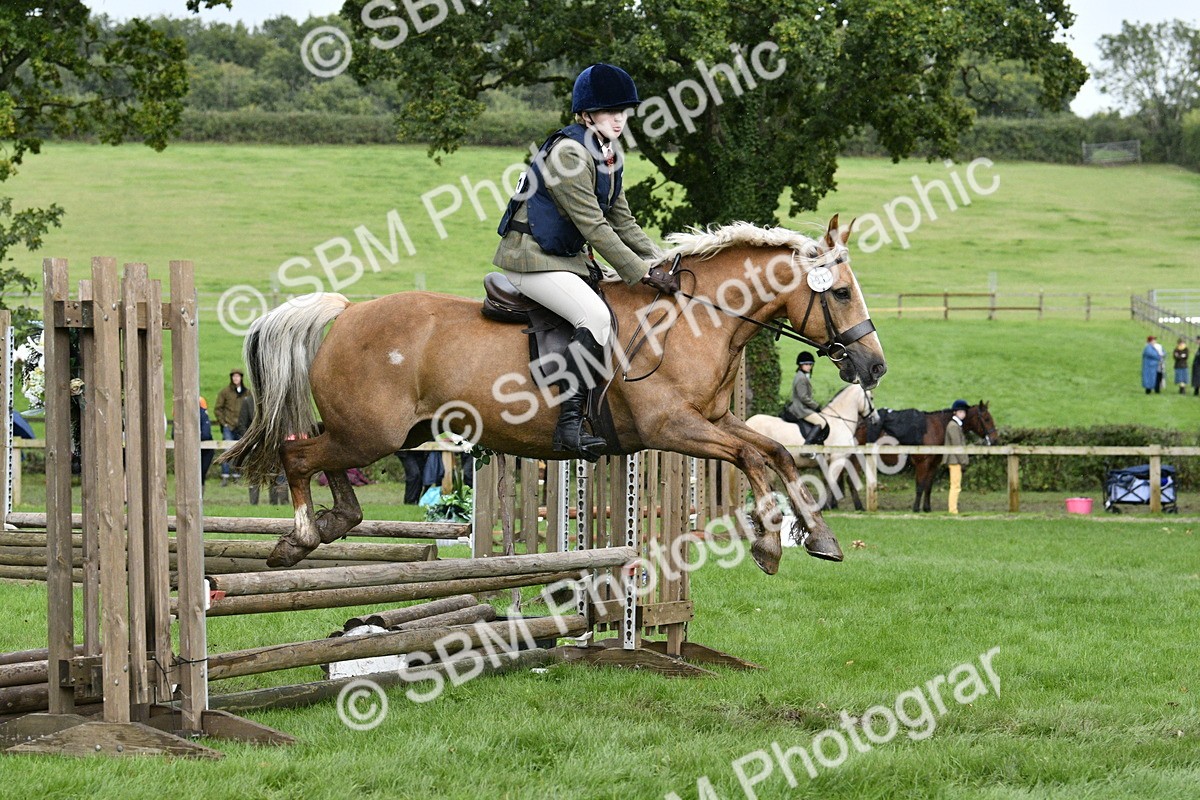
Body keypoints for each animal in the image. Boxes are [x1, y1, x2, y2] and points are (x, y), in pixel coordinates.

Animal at [745, 383, 877, 510]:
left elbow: (826, 482)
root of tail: (748, 422)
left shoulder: (825, 462)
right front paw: (826, 505)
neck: (839, 421)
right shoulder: (838, 457)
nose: (875, 419)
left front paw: (826, 505)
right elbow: (832, 481)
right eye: (871, 398)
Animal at [855, 401, 998, 512]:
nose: (995, 439)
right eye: (986, 419)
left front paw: (927, 508)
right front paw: (916, 508)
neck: (936, 428)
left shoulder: (933, 465)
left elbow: (928, 487)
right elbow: (920, 486)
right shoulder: (922, 463)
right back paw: (859, 506)